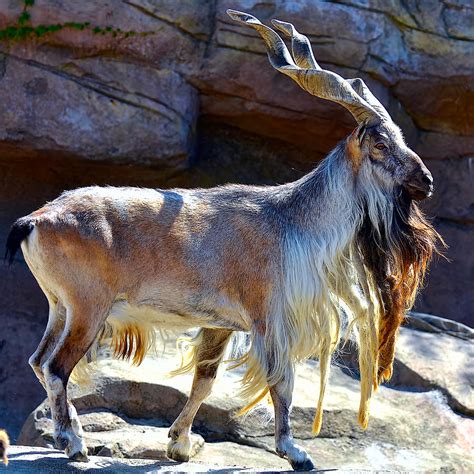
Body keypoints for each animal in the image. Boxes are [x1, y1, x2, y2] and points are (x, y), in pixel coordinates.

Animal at [4, 10, 440, 470]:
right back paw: (74, 443)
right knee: (57, 367)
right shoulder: (268, 316)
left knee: (39, 360)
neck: (291, 223)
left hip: (60, 306)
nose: (426, 180)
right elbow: (282, 381)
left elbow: (205, 380)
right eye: (380, 142)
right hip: (89, 307)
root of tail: (36, 219)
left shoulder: (220, 324)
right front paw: (295, 452)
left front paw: (178, 445)